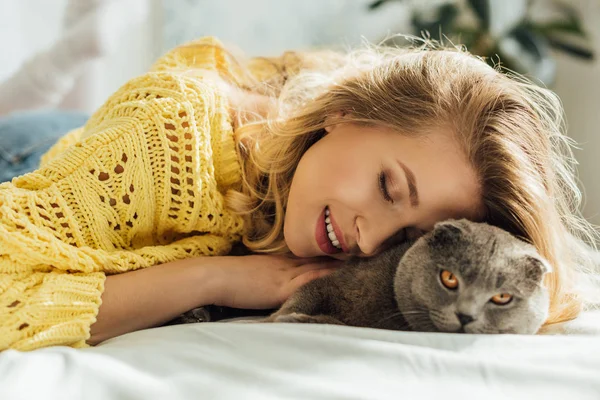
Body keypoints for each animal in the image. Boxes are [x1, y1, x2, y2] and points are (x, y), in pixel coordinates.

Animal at [268, 219, 552, 334]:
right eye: (449, 278)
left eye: (502, 297)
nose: (465, 316)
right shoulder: (331, 281)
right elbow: (305, 295)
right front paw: (277, 318)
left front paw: (297, 320)